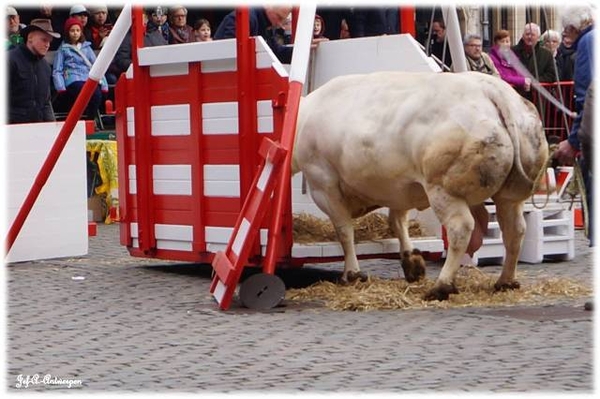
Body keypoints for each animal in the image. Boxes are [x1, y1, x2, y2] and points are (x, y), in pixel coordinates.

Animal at [292, 71, 552, 300]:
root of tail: (490, 89)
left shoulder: (323, 184)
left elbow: (344, 231)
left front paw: (353, 273)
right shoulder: (398, 186)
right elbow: (397, 222)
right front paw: (412, 262)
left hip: (443, 189)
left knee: (461, 228)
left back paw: (442, 286)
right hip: (510, 196)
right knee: (514, 230)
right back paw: (505, 281)